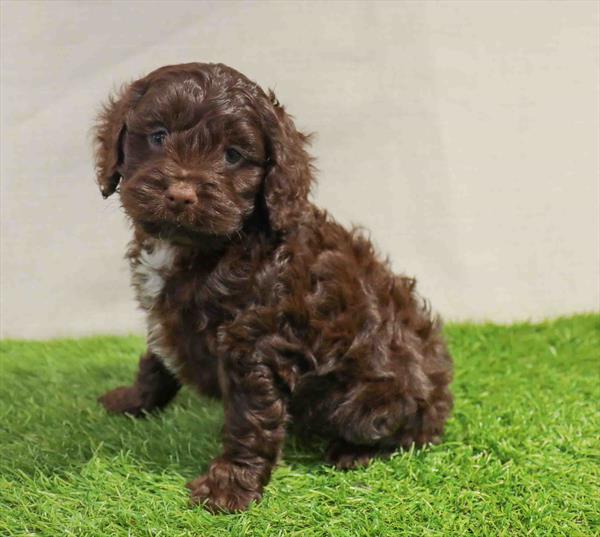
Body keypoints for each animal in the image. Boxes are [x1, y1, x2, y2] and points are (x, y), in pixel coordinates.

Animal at [94, 62, 452, 510]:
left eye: (233, 155)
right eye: (158, 136)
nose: (180, 195)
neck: (209, 247)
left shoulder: (254, 344)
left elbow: (250, 420)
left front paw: (229, 487)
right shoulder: (169, 316)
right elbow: (154, 361)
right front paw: (132, 400)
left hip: (366, 402)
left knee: (411, 433)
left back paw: (355, 451)